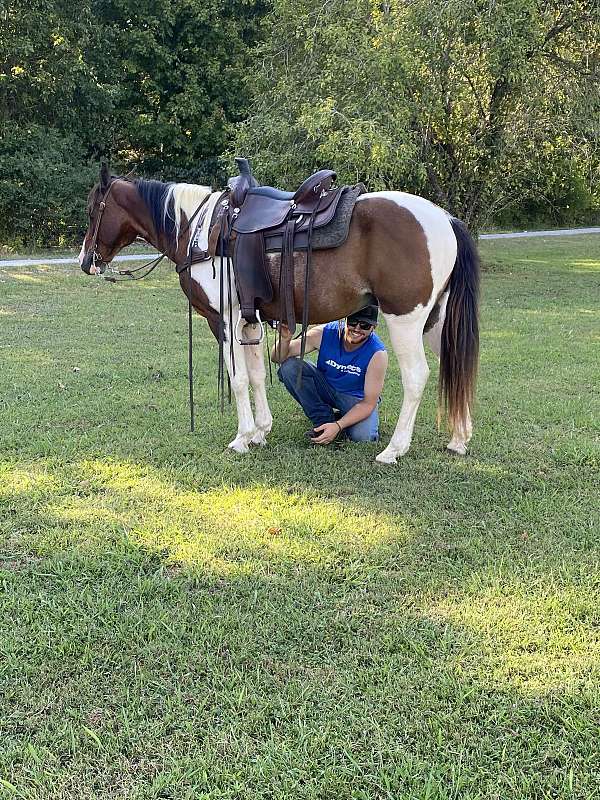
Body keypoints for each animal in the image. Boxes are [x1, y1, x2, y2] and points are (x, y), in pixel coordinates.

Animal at [81, 162, 482, 462]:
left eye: (91, 211)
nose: (86, 262)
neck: (197, 231)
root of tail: (446, 219)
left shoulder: (222, 319)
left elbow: (239, 379)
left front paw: (242, 437)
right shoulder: (249, 320)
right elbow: (258, 375)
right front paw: (261, 431)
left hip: (405, 319)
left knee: (417, 376)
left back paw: (394, 450)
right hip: (435, 321)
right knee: (455, 363)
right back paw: (459, 440)